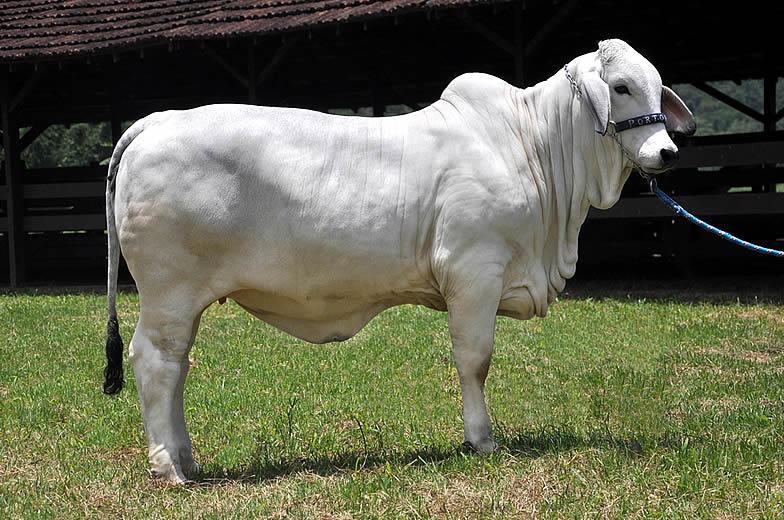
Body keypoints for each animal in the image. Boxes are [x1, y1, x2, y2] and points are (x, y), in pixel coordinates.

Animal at [102, 39, 696, 483]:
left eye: (655, 85)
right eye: (620, 87)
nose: (666, 152)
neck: (535, 148)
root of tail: (155, 123)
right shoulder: (474, 273)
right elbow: (474, 360)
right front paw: (482, 440)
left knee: (177, 367)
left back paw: (186, 457)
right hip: (168, 293)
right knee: (155, 361)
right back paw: (168, 467)